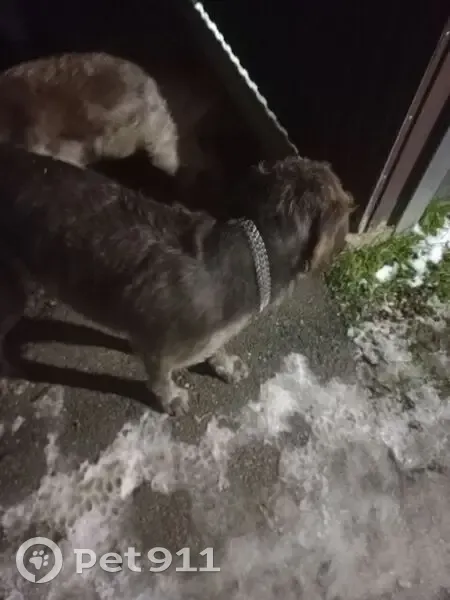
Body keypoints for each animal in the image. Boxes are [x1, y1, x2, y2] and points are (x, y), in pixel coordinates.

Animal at [0, 144, 353, 415]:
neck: (251, 250)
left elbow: (218, 344)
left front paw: (224, 364)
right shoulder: (158, 349)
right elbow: (159, 378)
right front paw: (171, 398)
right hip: (13, 294)